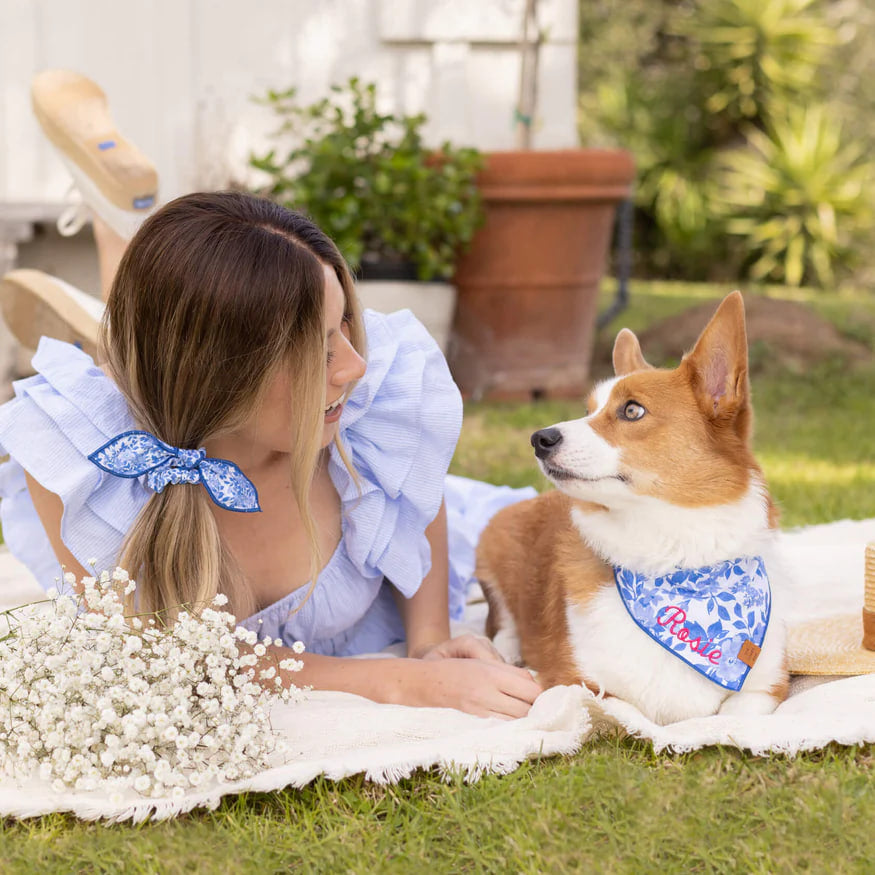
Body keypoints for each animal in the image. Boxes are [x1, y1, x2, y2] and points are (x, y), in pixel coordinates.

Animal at [476, 294, 792, 724]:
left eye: (632, 411)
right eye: (588, 410)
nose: (539, 438)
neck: (672, 559)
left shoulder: (766, 687)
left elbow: (734, 717)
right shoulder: (570, 681)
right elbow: (611, 708)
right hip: (496, 534)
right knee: (503, 618)